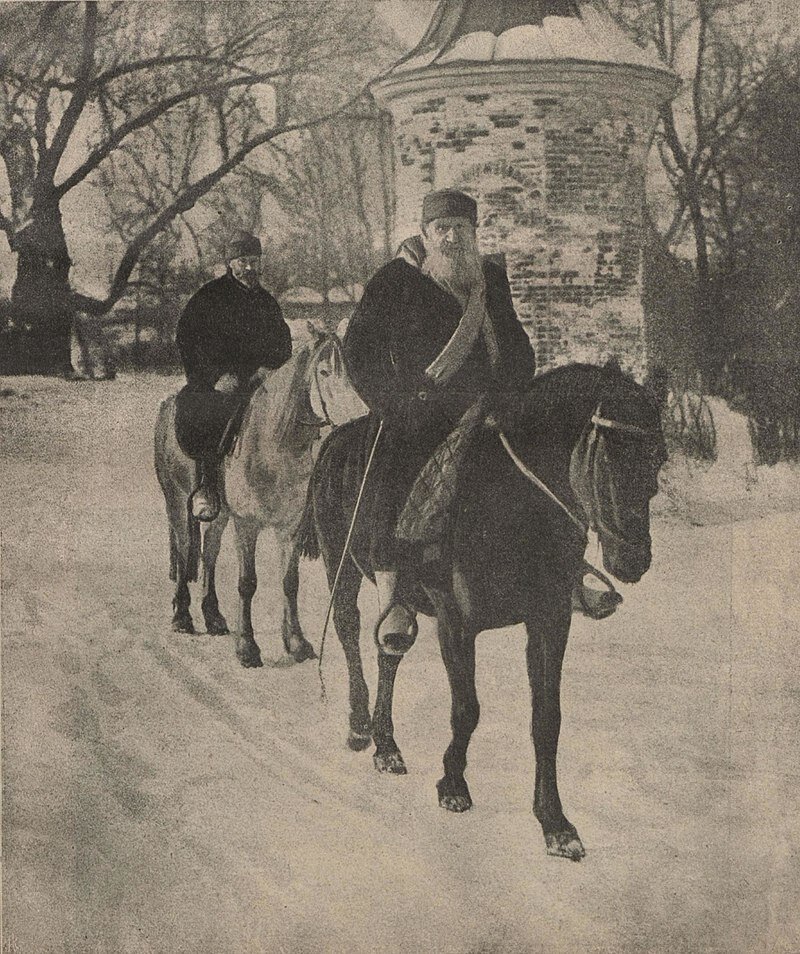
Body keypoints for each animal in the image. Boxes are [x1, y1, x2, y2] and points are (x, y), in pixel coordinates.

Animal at [154, 330, 366, 664]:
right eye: (323, 372)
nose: (362, 418)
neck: (272, 447)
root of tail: (166, 406)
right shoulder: (247, 525)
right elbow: (247, 584)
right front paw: (247, 647)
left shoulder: (289, 527)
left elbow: (290, 583)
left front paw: (296, 643)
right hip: (176, 502)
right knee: (185, 549)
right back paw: (183, 617)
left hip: (220, 516)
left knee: (209, 553)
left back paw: (214, 617)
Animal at [296, 360, 664, 860]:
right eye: (609, 457)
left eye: (658, 459)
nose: (633, 561)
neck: (509, 505)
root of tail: (334, 439)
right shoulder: (456, 624)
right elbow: (466, 709)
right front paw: (453, 784)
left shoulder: (550, 621)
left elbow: (547, 719)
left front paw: (555, 823)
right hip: (341, 564)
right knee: (351, 634)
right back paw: (359, 727)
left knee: (390, 649)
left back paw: (387, 745)